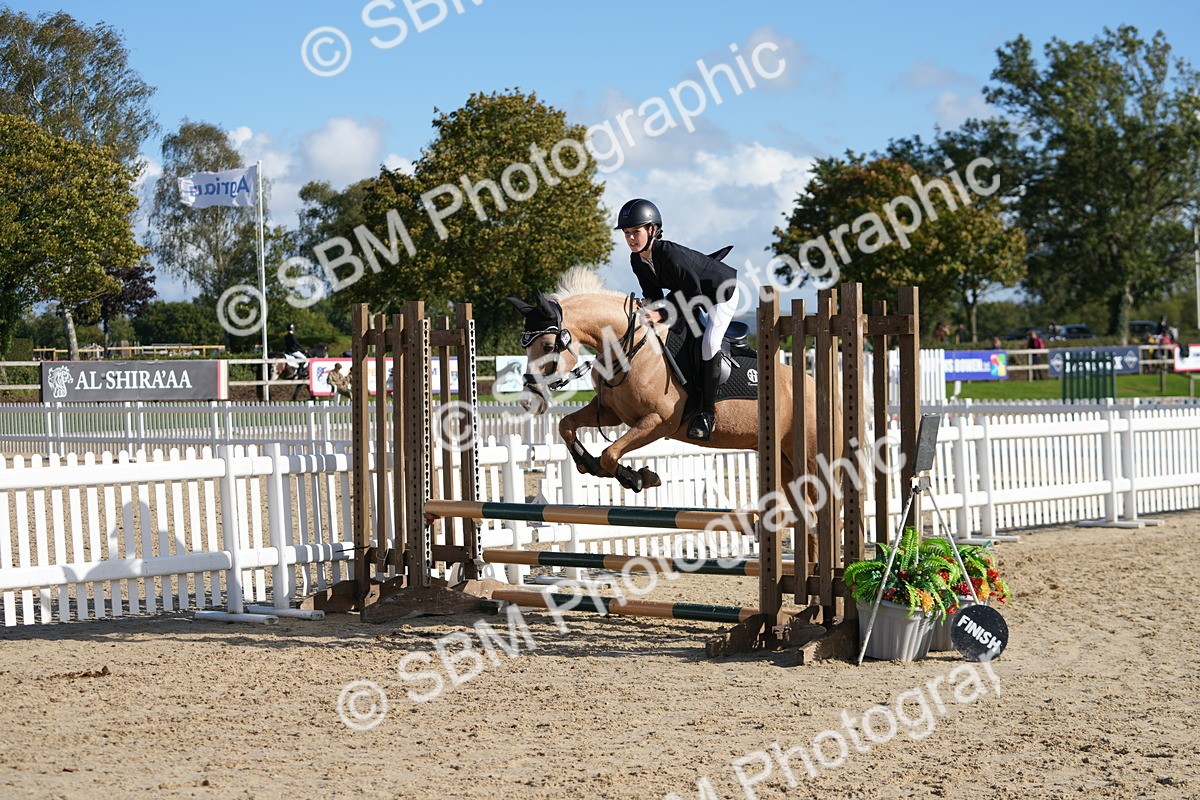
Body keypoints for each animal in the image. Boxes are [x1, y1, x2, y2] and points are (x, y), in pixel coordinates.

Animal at [507, 267, 822, 540]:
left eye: (548, 347)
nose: (528, 401)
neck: (629, 347)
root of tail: (810, 383)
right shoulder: (611, 413)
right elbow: (567, 425)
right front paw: (590, 464)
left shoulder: (659, 422)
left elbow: (610, 453)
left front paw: (637, 478)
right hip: (784, 460)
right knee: (809, 517)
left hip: (807, 457)